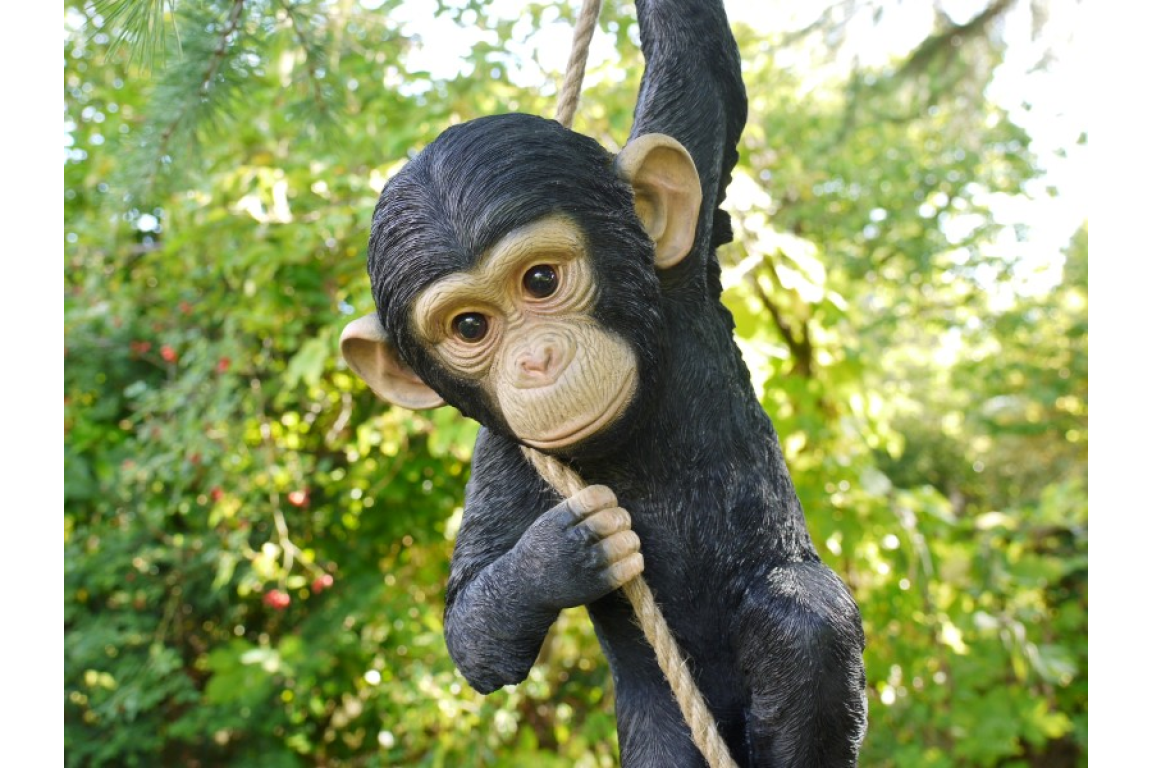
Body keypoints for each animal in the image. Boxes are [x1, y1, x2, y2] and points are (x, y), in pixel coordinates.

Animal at [339, 1, 868, 765]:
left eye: (540, 281)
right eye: (469, 326)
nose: (537, 360)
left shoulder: (683, 265)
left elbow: (699, 69)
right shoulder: (504, 459)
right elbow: (468, 630)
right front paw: (561, 554)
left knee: (805, 621)